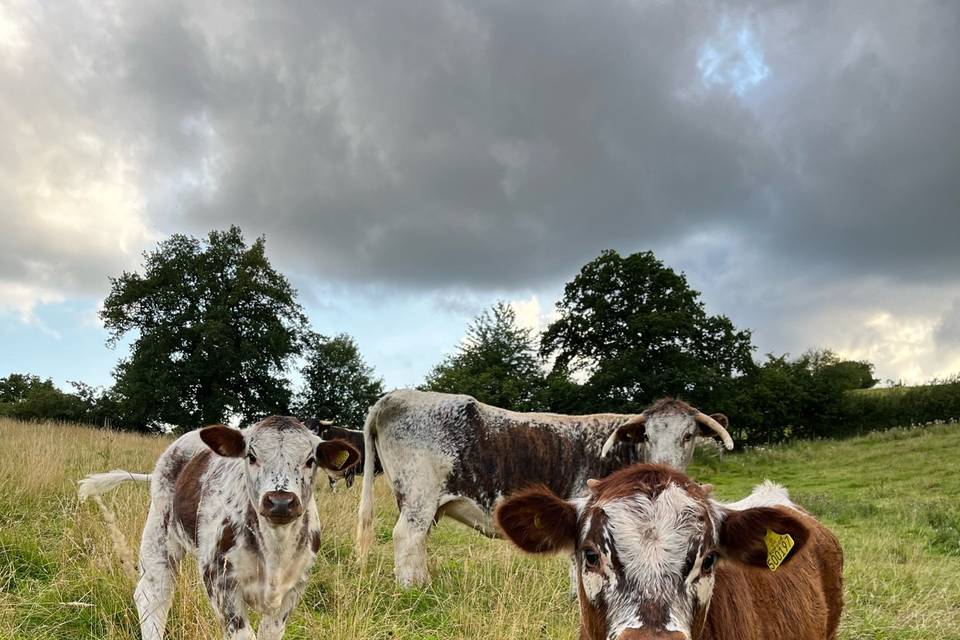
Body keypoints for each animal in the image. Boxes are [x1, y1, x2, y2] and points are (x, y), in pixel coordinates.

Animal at [354, 388, 736, 588]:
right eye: (647, 435)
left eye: (688, 435)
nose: (665, 469)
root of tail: (396, 395)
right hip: (418, 496)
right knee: (406, 536)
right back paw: (414, 588)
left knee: (416, 542)